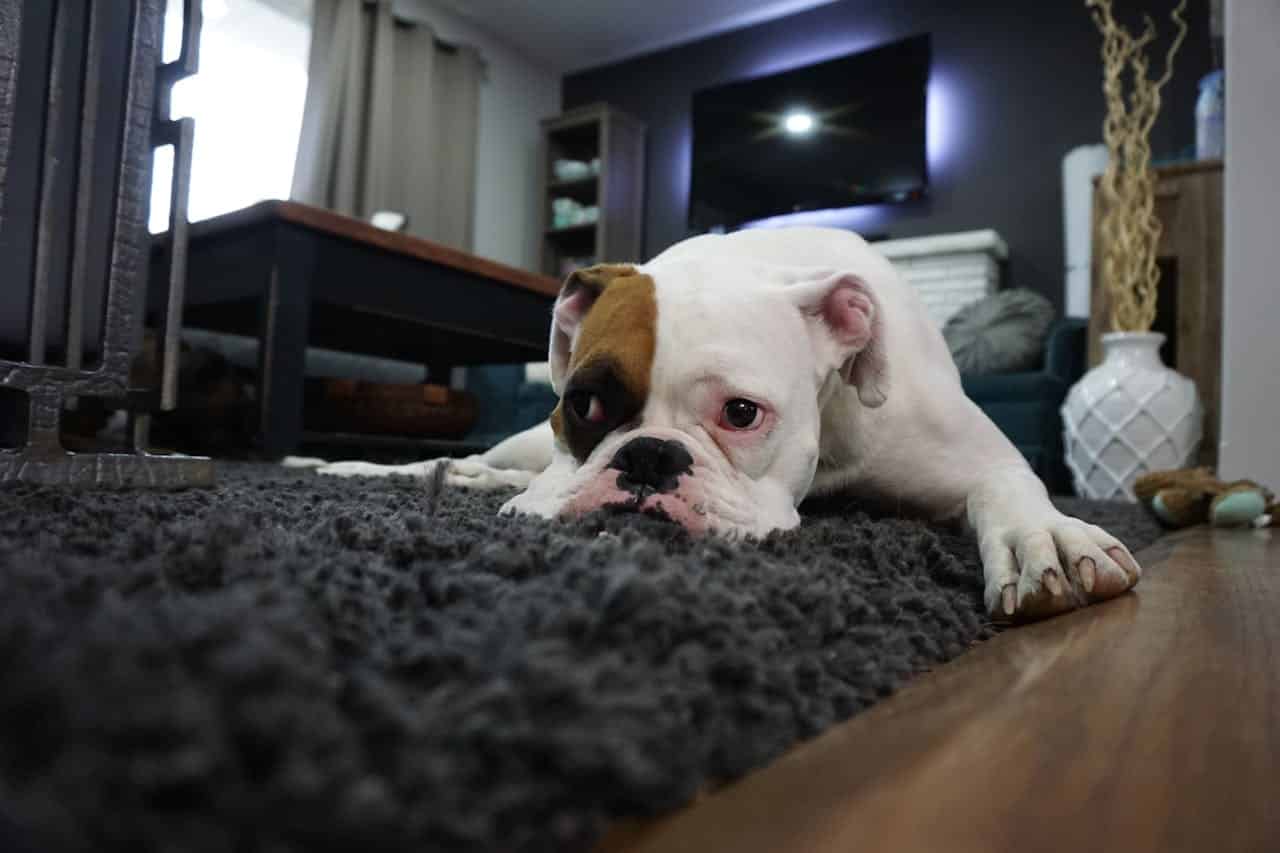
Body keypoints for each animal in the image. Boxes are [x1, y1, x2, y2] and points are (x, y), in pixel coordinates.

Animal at [309, 225, 1141, 617]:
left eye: (741, 413)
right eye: (583, 403)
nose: (647, 456)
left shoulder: (981, 456)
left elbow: (1011, 489)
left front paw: (1046, 539)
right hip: (519, 444)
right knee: (474, 462)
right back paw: (354, 466)